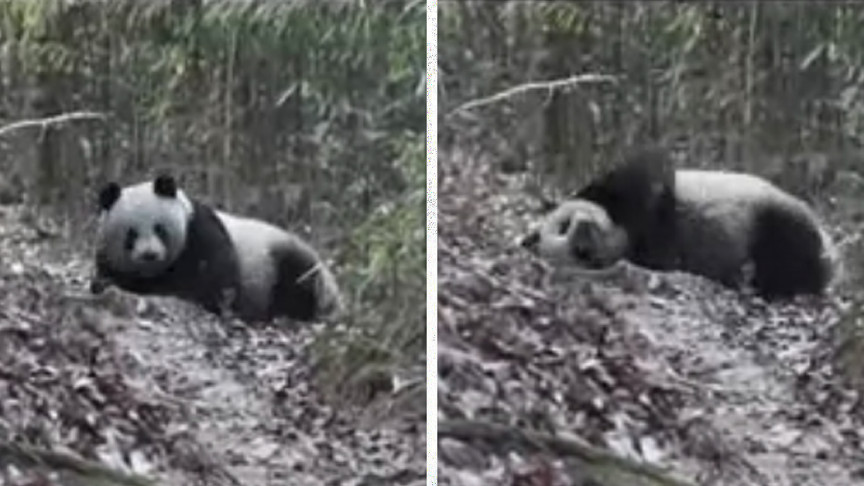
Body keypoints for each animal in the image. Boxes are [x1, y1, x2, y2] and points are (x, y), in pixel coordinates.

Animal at [90, 174, 342, 322]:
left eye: (160, 229)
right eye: (131, 234)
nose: (149, 255)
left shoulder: (199, 230)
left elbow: (215, 280)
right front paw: (106, 283)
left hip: (281, 260)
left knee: (300, 282)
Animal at [522, 147, 836, 298]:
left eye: (563, 227)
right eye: (584, 255)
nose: (585, 235)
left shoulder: (617, 189)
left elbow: (648, 172)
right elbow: (667, 252)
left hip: (769, 207)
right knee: (788, 254)